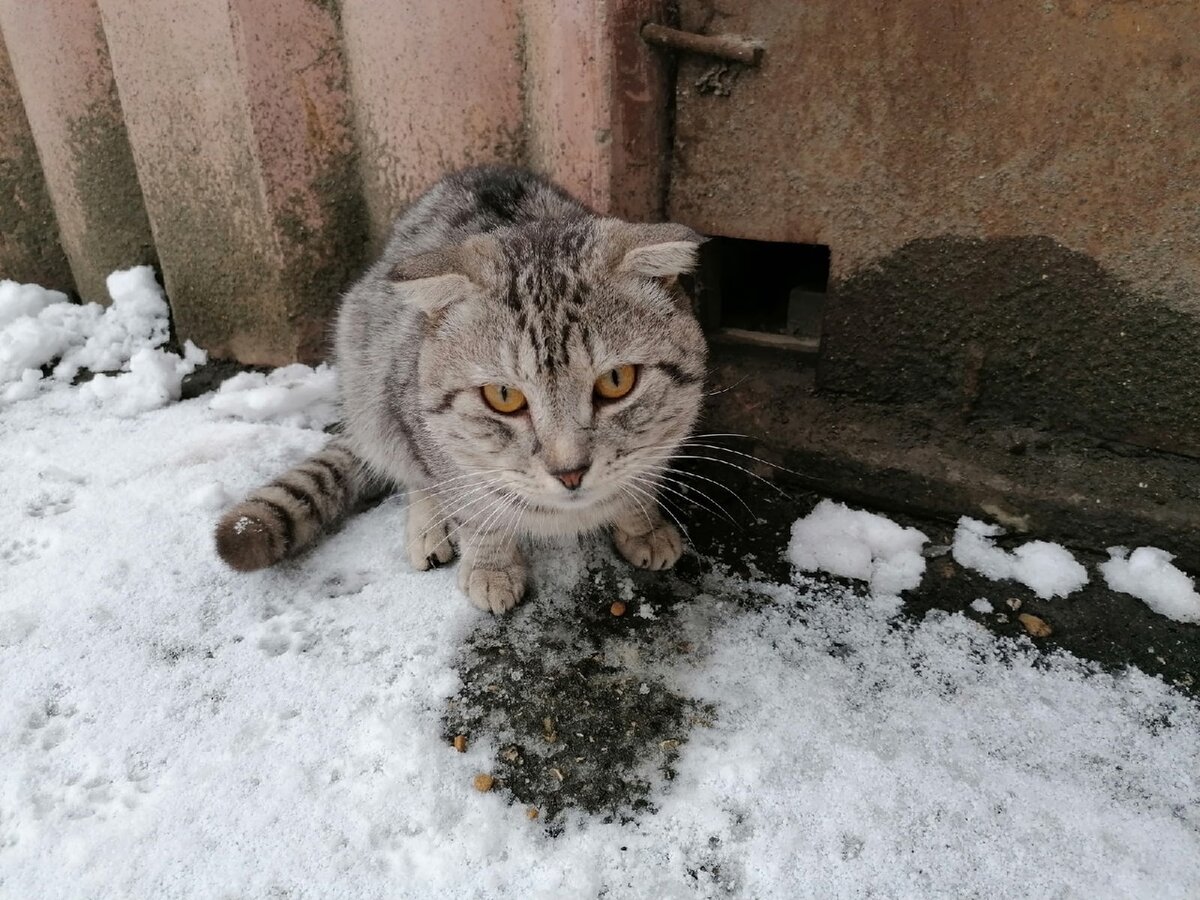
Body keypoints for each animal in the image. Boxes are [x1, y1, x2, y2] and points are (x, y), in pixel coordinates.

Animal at [214, 165, 707, 614]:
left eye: (616, 381)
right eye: (503, 396)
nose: (569, 472)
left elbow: (641, 481)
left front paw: (643, 526)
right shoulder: (429, 437)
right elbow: (471, 509)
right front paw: (491, 567)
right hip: (369, 382)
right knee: (411, 474)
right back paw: (428, 529)